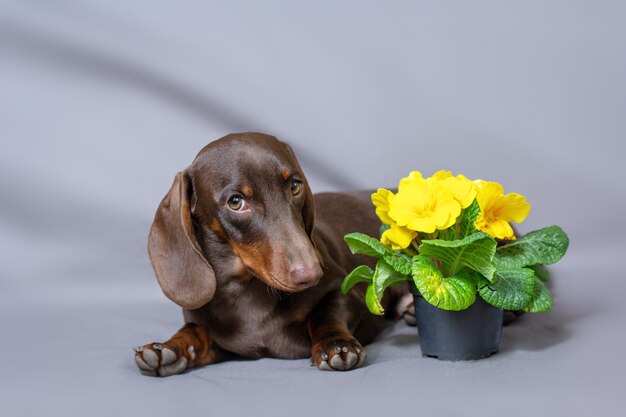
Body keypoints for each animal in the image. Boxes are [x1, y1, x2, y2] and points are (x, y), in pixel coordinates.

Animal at [133, 132, 404, 376]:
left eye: (295, 186)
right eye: (235, 202)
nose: (311, 274)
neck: (248, 294)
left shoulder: (346, 289)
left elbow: (326, 313)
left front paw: (336, 343)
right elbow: (195, 331)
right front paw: (169, 348)